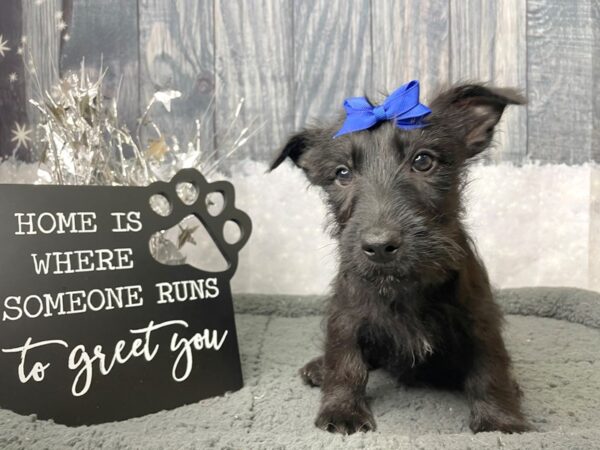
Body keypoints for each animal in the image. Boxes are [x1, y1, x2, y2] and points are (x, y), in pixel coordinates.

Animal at [270, 83, 528, 432]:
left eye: (423, 161)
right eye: (342, 173)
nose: (379, 246)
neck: (404, 285)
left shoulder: (479, 318)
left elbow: (490, 367)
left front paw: (500, 419)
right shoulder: (346, 316)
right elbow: (345, 361)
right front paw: (341, 410)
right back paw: (318, 367)